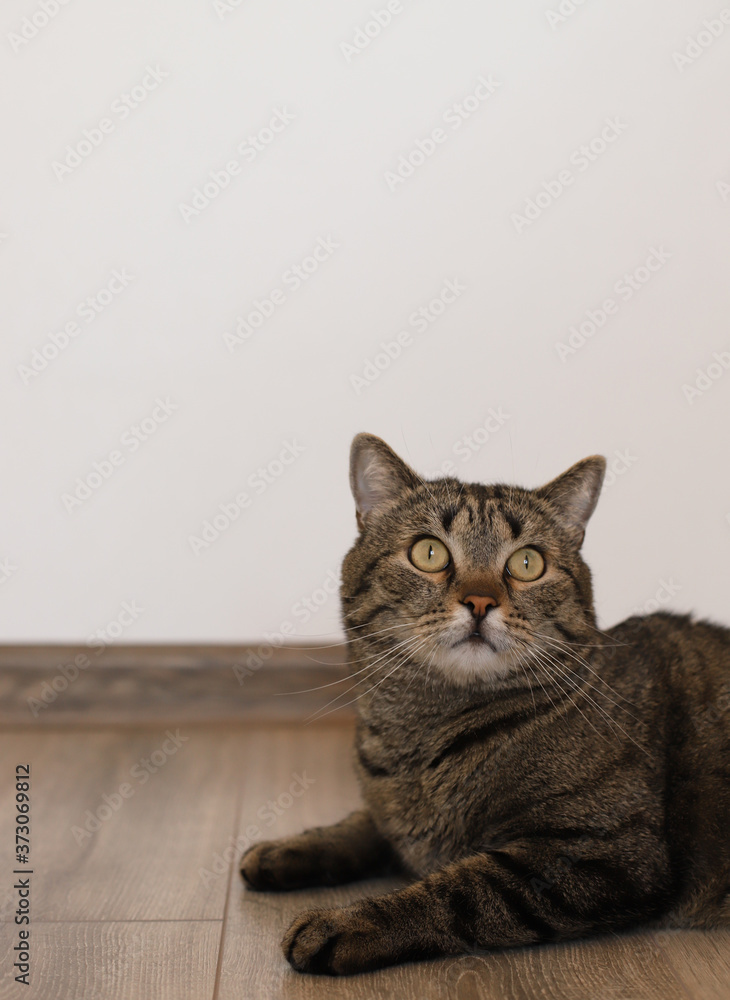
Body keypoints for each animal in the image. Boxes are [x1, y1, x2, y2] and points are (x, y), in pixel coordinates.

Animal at [240, 432, 728, 976]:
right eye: (428, 552)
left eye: (527, 562)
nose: (479, 601)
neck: (418, 737)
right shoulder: (392, 816)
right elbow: (361, 824)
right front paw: (286, 849)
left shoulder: (601, 851)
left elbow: (458, 891)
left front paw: (345, 922)